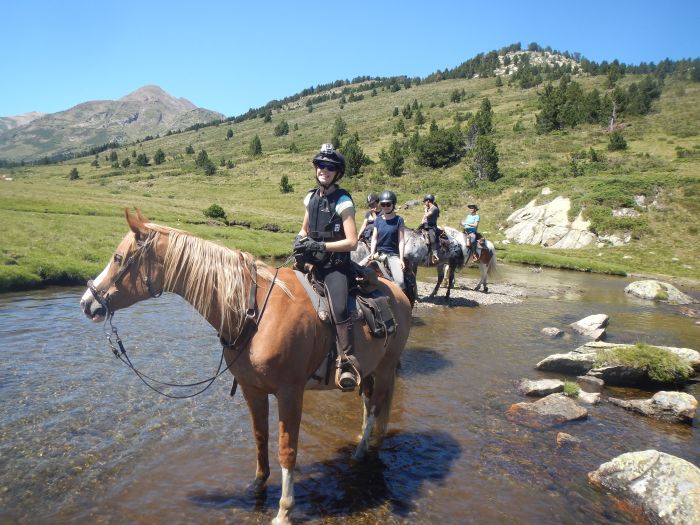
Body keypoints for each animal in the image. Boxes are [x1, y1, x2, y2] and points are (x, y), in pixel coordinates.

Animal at [80, 210, 412, 524]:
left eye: (118, 258)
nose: (86, 303)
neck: (254, 312)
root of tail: (398, 294)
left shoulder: (290, 393)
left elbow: (287, 449)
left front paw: (284, 510)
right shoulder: (253, 390)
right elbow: (260, 437)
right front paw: (257, 485)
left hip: (385, 369)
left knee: (376, 408)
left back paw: (364, 453)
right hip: (368, 371)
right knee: (368, 404)